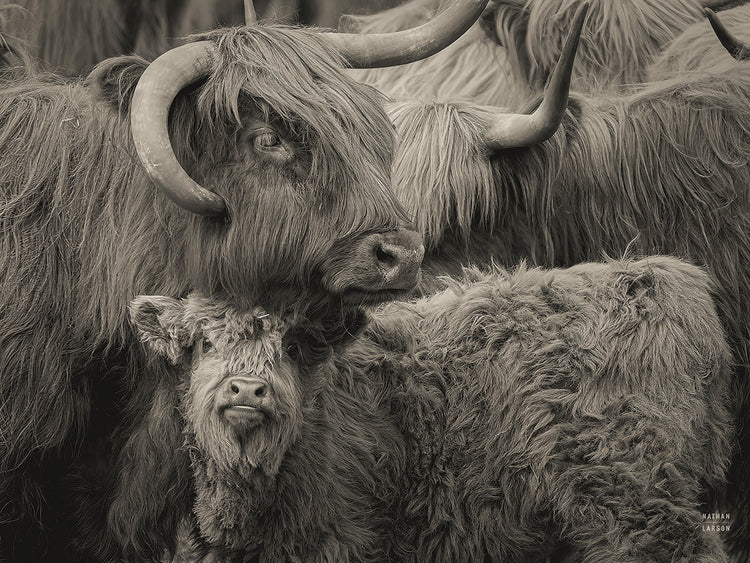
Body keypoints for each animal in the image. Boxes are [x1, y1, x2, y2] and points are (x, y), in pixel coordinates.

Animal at [129, 255, 734, 561]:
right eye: (206, 342)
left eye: (293, 347)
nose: (247, 390)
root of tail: (658, 276)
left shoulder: (343, 540)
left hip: (635, 497)